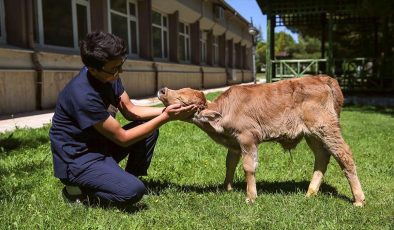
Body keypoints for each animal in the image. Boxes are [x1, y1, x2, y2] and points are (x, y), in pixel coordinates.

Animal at [158, 75, 366, 207]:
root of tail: (323, 78)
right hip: (312, 134)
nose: (162, 90)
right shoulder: (235, 143)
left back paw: (358, 200)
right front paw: (227, 188)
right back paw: (310, 193)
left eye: (182, 100)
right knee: (322, 157)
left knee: (344, 155)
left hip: (326, 128)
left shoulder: (248, 137)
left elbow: (248, 167)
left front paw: (251, 197)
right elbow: (230, 164)